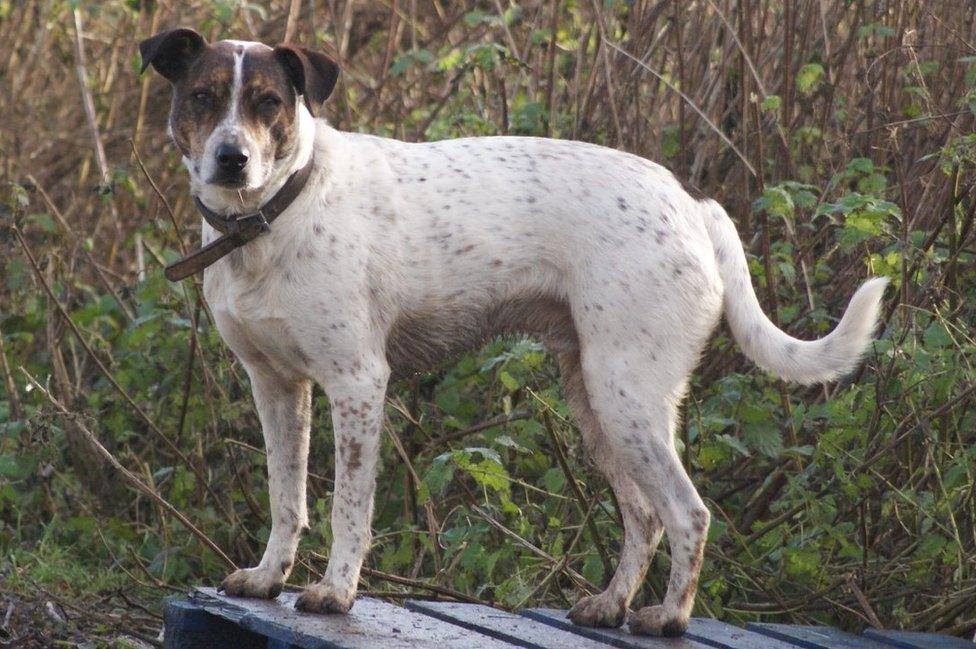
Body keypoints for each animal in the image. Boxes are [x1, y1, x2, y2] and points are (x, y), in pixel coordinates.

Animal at [141, 27, 888, 636]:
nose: (232, 158)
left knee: (687, 513)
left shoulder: (356, 384)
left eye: (268, 101)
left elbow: (347, 506)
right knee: (644, 517)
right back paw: (611, 605)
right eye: (204, 96)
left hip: (628, 397)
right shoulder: (276, 388)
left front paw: (335, 591)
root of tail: (693, 203)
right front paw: (269, 576)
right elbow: (285, 498)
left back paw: (669, 616)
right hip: (596, 402)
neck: (272, 215)